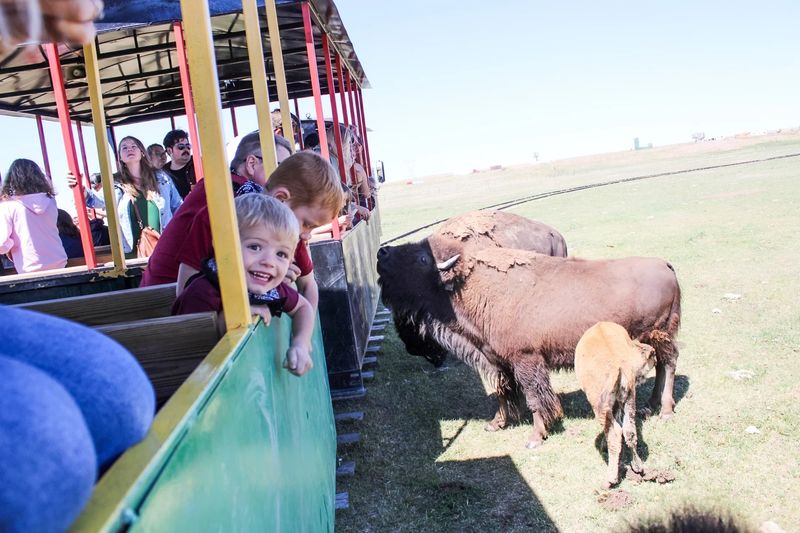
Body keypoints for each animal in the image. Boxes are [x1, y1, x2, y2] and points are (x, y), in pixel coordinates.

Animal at [377, 244, 680, 448]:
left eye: (422, 257)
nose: (382, 253)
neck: (468, 289)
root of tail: (665, 265)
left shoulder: (526, 360)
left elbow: (534, 398)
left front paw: (535, 437)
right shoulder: (498, 360)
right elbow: (502, 392)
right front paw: (495, 424)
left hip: (661, 332)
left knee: (669, 365)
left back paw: (665, 411)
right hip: (650, 338)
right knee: (661, 366)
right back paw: (650, 406)